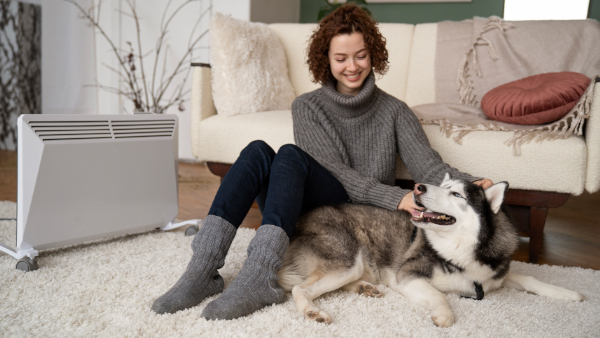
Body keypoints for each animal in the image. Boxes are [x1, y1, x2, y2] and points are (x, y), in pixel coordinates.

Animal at [278, 173, 584, 326]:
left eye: (456, 194)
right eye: (442, 185)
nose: (418, 187)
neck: (460, 250)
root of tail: (297, 223)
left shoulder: (494, 274)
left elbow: (530, 278)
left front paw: (566, 293)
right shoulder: (408, 276)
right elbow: (439, 295)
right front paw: (445, 314)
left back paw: (365, 288)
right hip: (349, 260)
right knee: (300, 288)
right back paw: (313, 312)